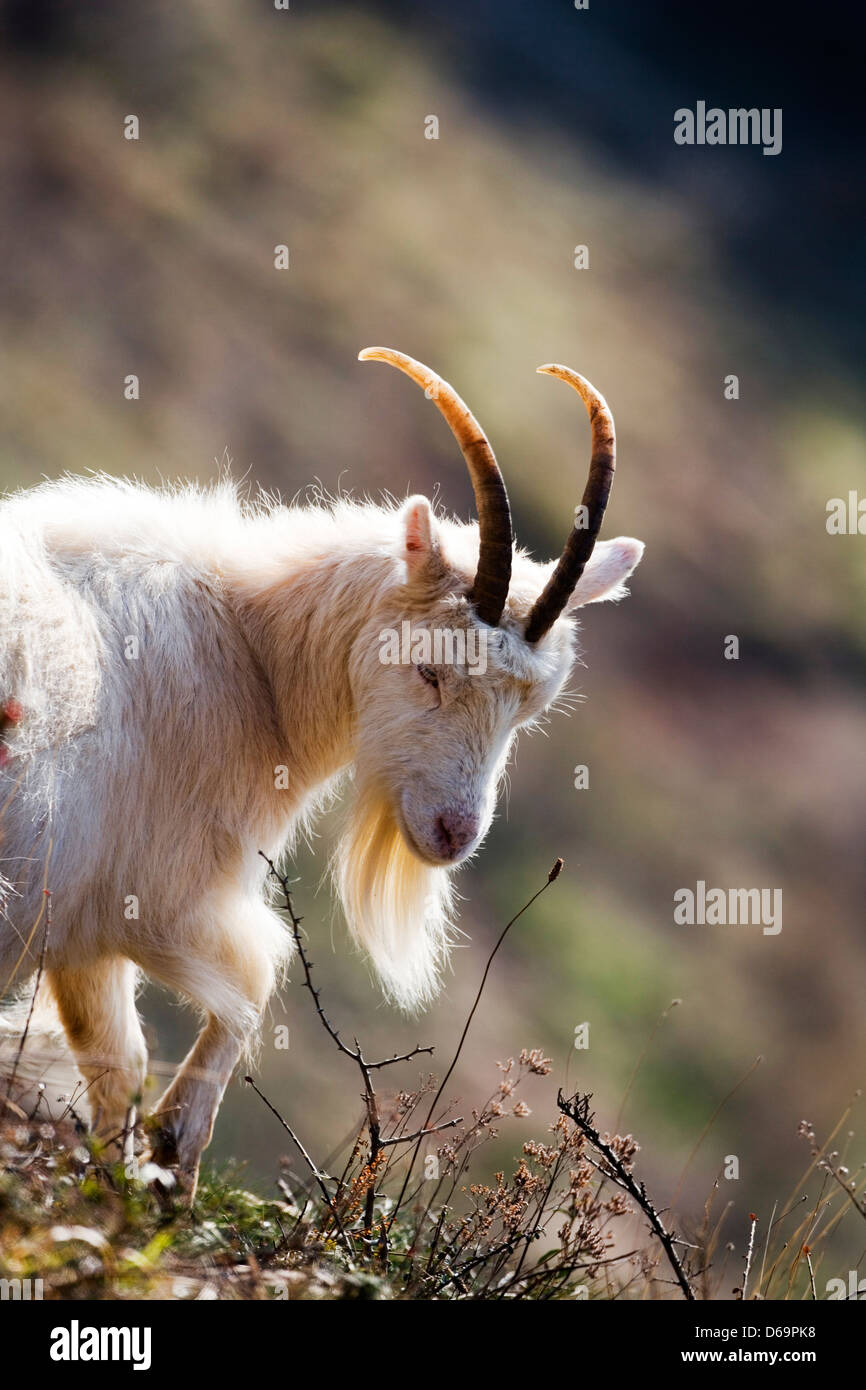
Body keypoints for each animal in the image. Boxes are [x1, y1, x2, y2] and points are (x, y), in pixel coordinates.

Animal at [1, 347, 644, 1184]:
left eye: (528, 707)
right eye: (429, 670)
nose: (454, 834)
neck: (249, 649)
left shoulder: (80, 919)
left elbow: (116, 1063)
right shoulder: (154, 892)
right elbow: (250, 982)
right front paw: (175, 1153)